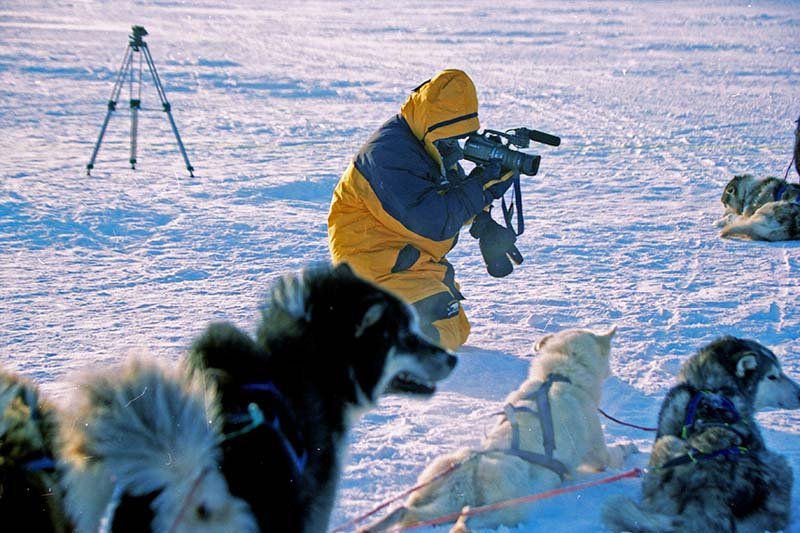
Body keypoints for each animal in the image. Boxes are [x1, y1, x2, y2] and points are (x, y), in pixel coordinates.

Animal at [364, 326, 636, 528]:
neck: (559, 375)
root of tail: (473, 465)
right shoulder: (597, 451)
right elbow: (612, 455)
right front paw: (630, 447)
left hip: (435, 490)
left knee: (406, 511)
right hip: (507, 507)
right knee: (465, 520)